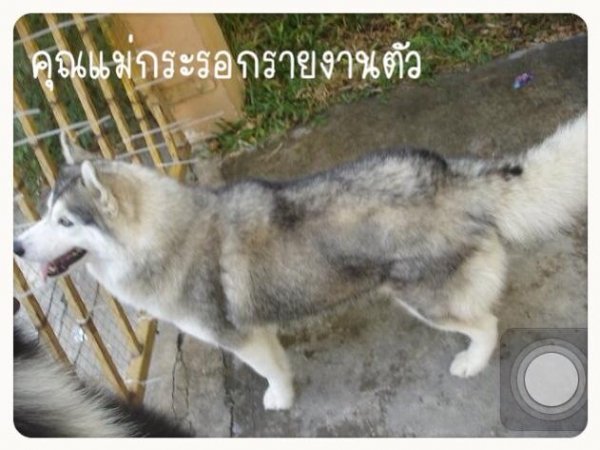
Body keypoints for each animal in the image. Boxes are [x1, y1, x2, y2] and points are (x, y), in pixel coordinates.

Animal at [13, 113, 587, 410]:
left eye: (66, 222)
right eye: (43, 213)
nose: (17, 248)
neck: (162, 238)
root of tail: (454, 179)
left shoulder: (236, 337)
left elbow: (268, 373)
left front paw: (280, 400)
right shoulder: (256, 328)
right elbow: (276, 357)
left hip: (424, 298)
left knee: (485, 322)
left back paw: (472, 360)